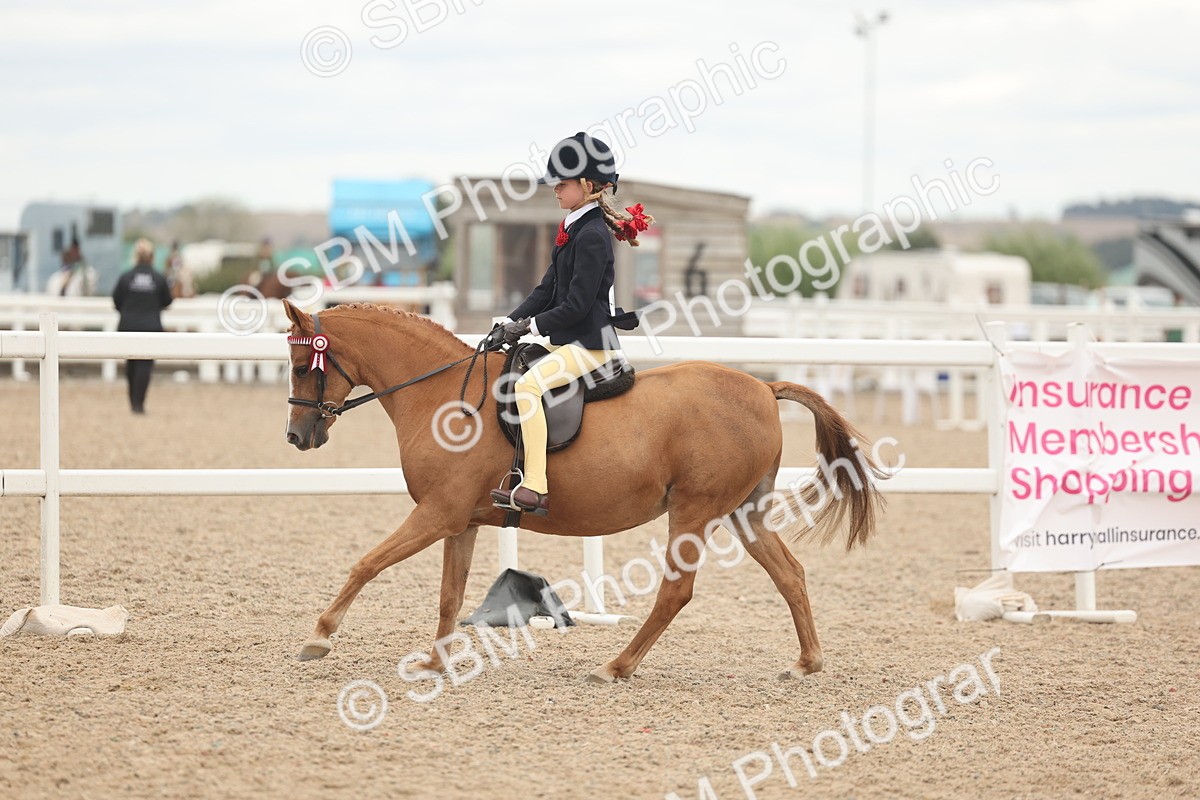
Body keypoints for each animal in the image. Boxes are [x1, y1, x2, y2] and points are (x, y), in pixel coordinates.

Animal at [282, 299, 886, 682]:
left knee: (677, 591)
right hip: (743, 512)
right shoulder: (461, 520)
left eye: (302, 364)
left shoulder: (437, 513)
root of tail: (763, 386)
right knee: (790, 574)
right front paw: (434, 662)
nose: (297, 437)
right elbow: (450, 594)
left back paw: (616, 666)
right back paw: (807, 662)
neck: (444, 395)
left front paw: (319, 637)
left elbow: (367, 563)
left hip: (695, 511)